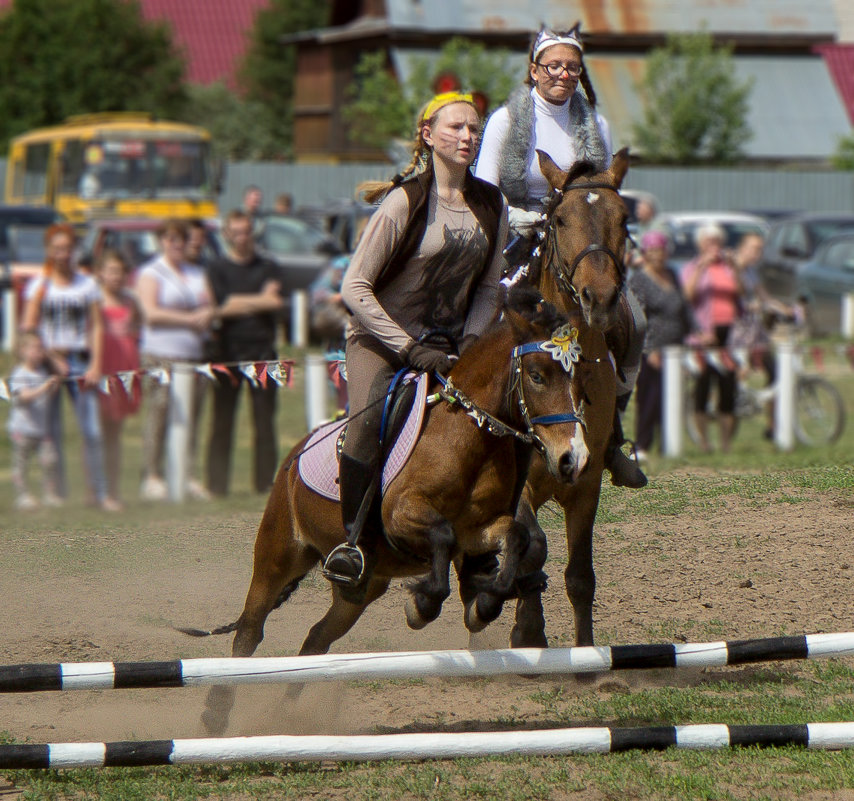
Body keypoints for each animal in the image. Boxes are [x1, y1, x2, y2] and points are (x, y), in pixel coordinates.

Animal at [193, 290, 596, 736]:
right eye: (538, 376)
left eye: (579, 380)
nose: (573, 460)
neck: (468, 436)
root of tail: (292, 459)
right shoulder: (402, 515)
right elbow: (441, 538)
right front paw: (421, 605)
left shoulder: (477, 530)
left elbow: (514, 536)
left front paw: (484, 602)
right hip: (279, 555)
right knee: (250, 630)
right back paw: (216, 713)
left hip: (361, 590)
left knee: (317, 638)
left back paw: (289, 715)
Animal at [508, 148, 636, 648]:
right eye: (560, 219)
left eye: (623, 218)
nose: (598, 297)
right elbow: (531, 548)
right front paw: (527, 633)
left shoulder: (587, 481)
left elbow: (580, 577)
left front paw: (585, 653)